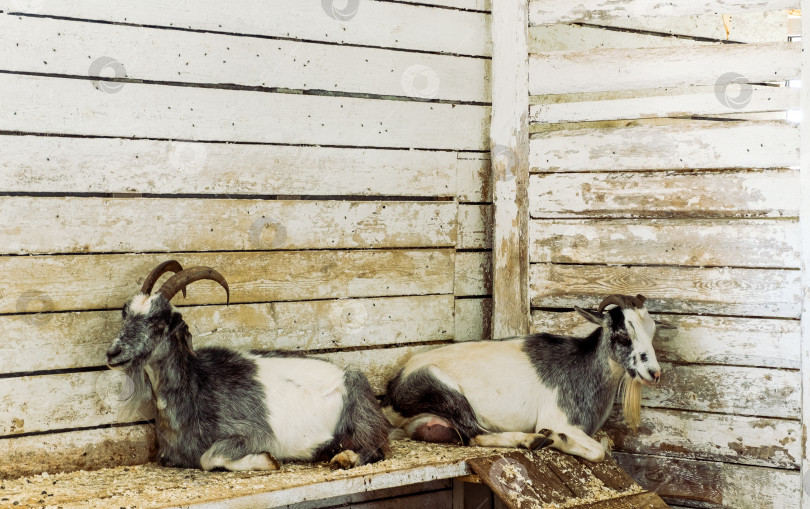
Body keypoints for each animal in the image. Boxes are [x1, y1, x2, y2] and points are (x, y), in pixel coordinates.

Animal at [105, 260, 390, 470]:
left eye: (159, 321)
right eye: (125, 313)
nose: (112, 353)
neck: (196, 385)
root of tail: (346, 373)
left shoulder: (252, 433)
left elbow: (209, 458)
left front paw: (268, 460)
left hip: (360, 416)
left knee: (377, 448)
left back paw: (345, 458)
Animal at [382, 292, 664, 462]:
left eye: (652, 332)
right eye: (623, 335)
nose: (654, 373)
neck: (581, 364)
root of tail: (392, 393)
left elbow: (604, 445)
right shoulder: (558, 418)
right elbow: (599, 451)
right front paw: (557, 438)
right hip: (444, 389)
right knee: (475, 434)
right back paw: (535, 439)